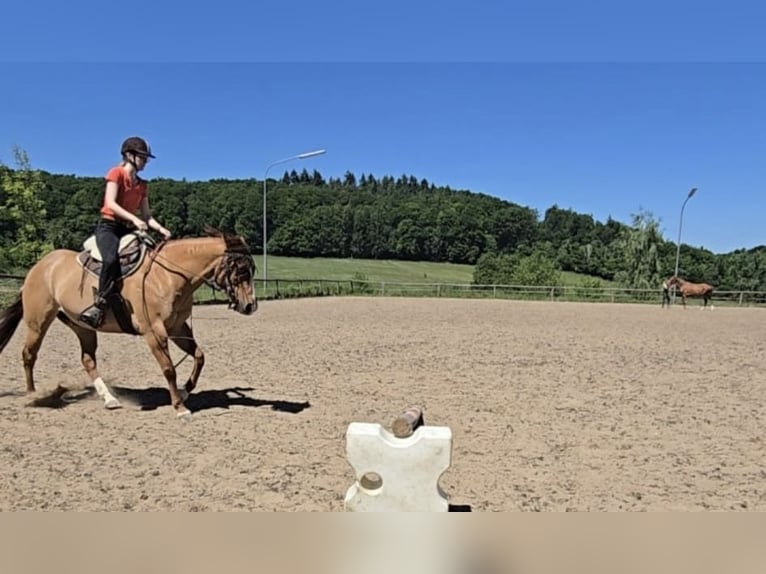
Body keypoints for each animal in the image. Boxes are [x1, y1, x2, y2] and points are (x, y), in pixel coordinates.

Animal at [0, 226, 257, 419]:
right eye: (240, 268)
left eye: (251, 268)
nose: (250, 306)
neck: (166, 276)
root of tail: (40, 266)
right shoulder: (154, 332)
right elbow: (168, 368)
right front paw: (179, 407)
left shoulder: (177, 327)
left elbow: (199, 357)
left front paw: (185, 392)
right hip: (38, 322)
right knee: (29, 354)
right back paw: (33, 395)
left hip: (82, 326)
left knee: (88, 360)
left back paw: (110, 399)